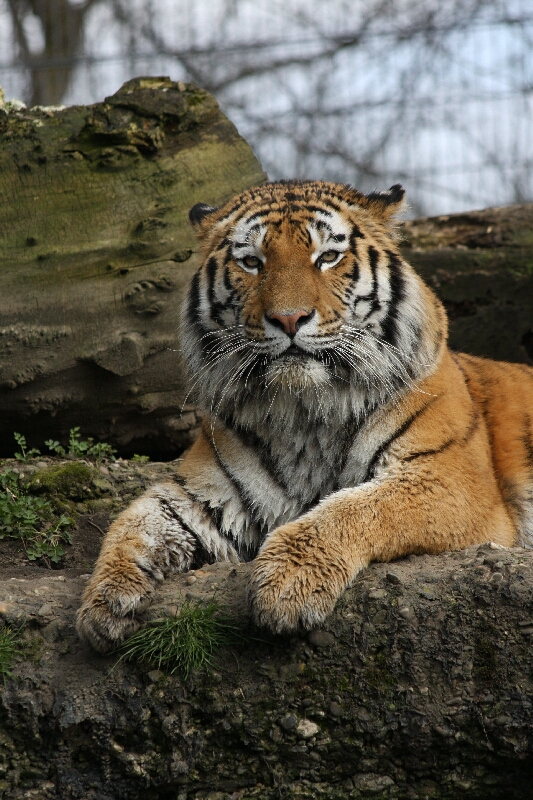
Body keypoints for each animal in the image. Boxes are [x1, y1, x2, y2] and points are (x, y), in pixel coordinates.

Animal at [76, 180, 532, 648]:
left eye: (327, 257)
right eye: (252, 262)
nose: (289, 318)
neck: (305, 411)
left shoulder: (448, 480)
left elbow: (352, 508)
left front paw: (287, 585)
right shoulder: (205, 494)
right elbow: (135, 521)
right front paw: (105, 601)